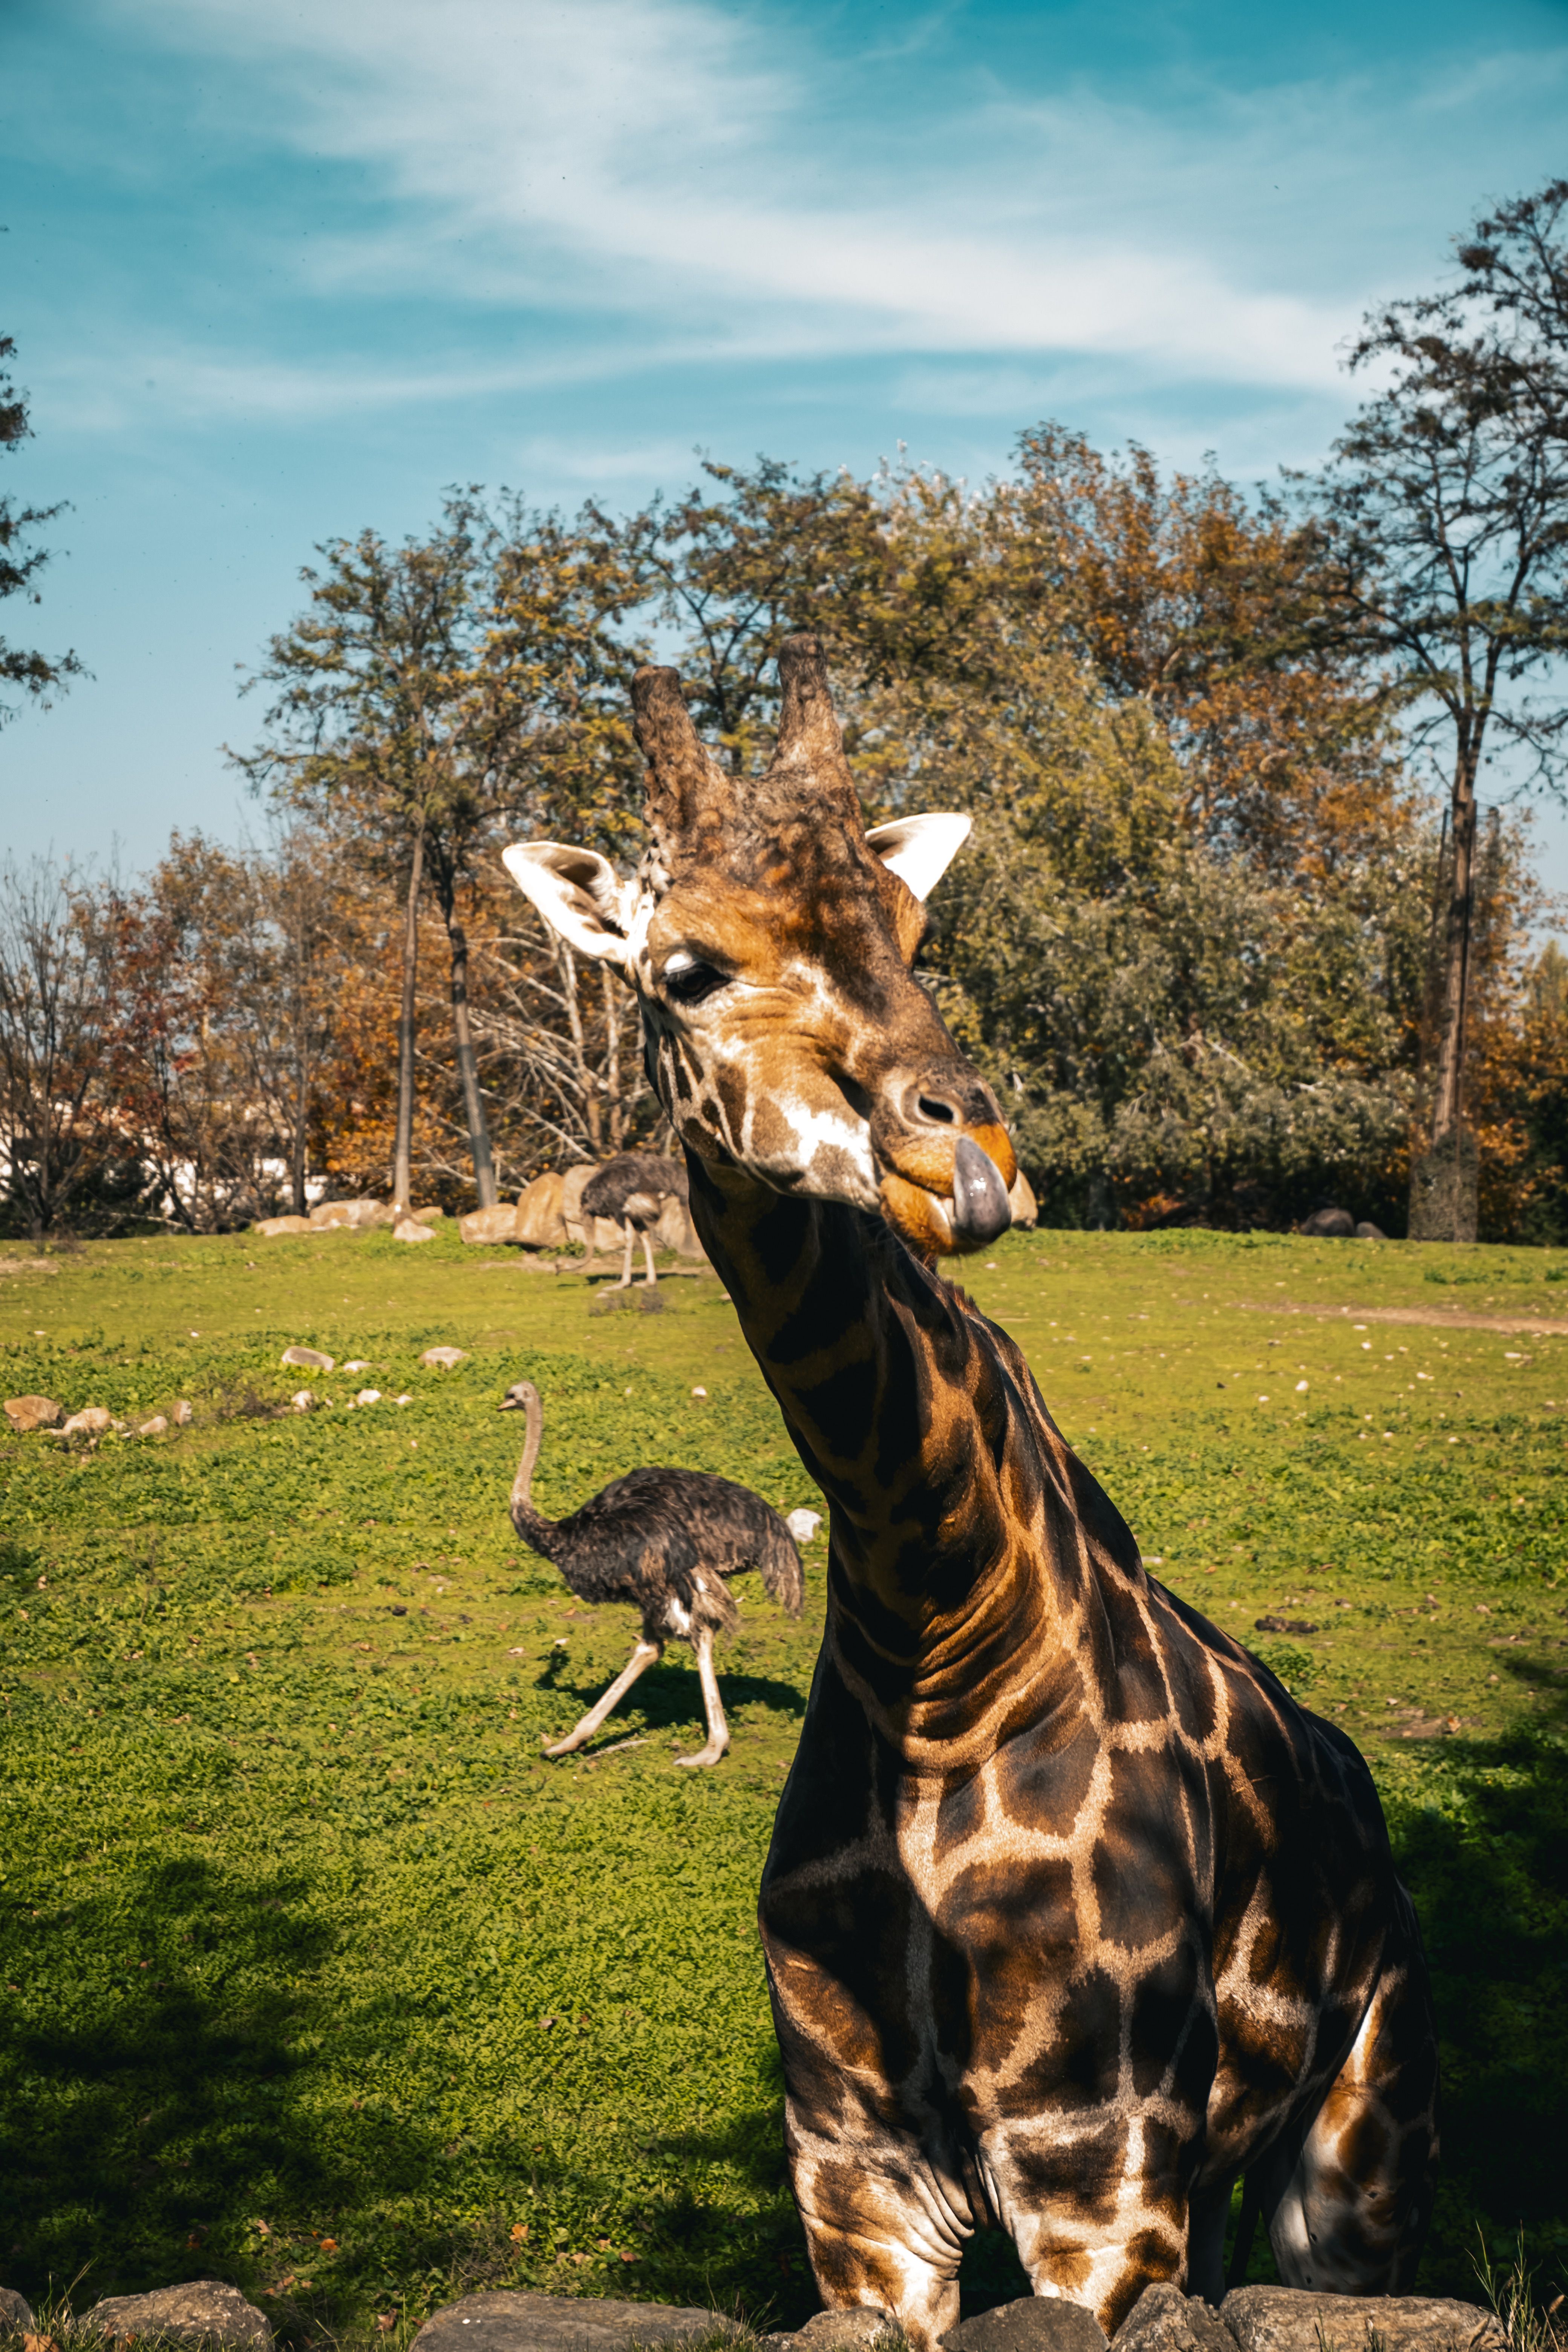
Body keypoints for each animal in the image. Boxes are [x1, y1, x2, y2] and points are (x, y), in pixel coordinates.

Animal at [501, 636, 1439, 2349]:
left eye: (913, 928)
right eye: (684, 967)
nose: (972, 1157)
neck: (937, 1638)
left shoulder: (1096, 2175)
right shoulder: (855, 2177)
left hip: (1356, 2154)